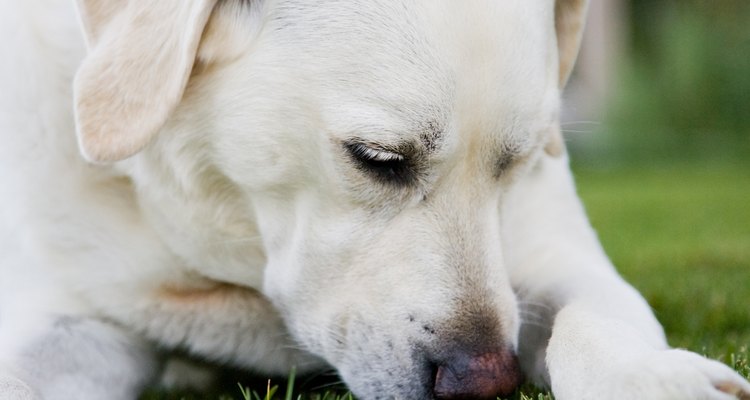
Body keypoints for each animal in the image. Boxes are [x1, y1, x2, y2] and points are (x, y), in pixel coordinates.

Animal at [1, 0, 750, 398]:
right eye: (378, 159)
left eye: (513, 163)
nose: (486, 382)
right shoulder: (64, 317)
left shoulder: (560, 252)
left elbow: (595, 318)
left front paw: (650, 377)